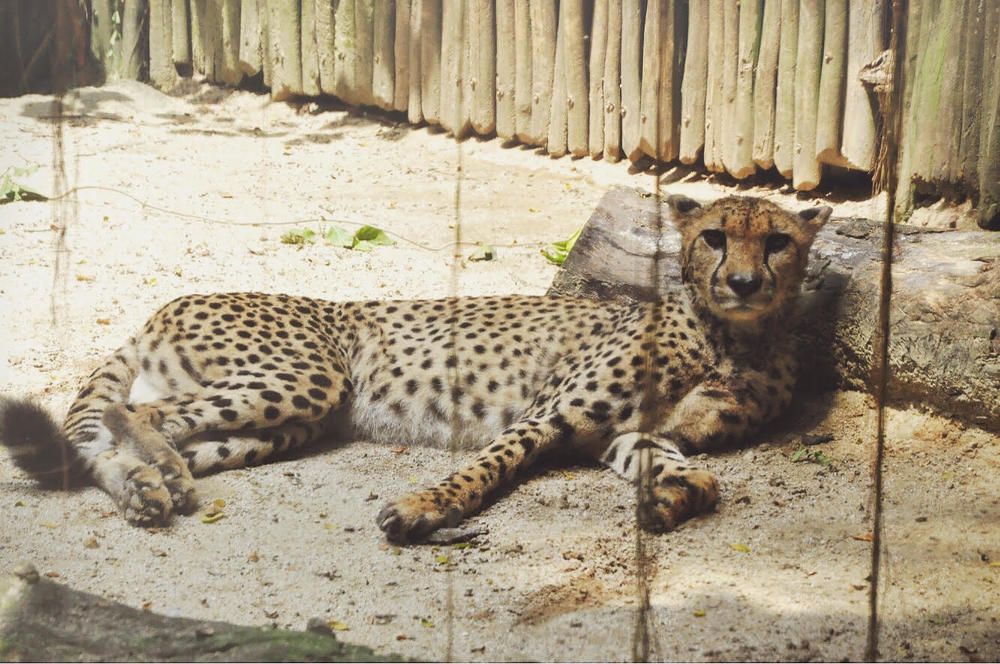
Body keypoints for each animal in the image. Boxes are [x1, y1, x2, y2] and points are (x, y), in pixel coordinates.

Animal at [0, 194, 830, 543]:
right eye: (715, 237)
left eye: (778, 242)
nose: (744, 282)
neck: (731, 337)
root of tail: (168, 302)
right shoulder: (550, 415)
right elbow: (487, 467)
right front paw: (423, 509)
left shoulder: (629, 433)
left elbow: (692, 471)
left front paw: (672, 496)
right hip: (308, 377)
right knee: (136, 414)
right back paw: (160, 478)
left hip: (285, 425)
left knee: (119, 442)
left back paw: (148, 490)